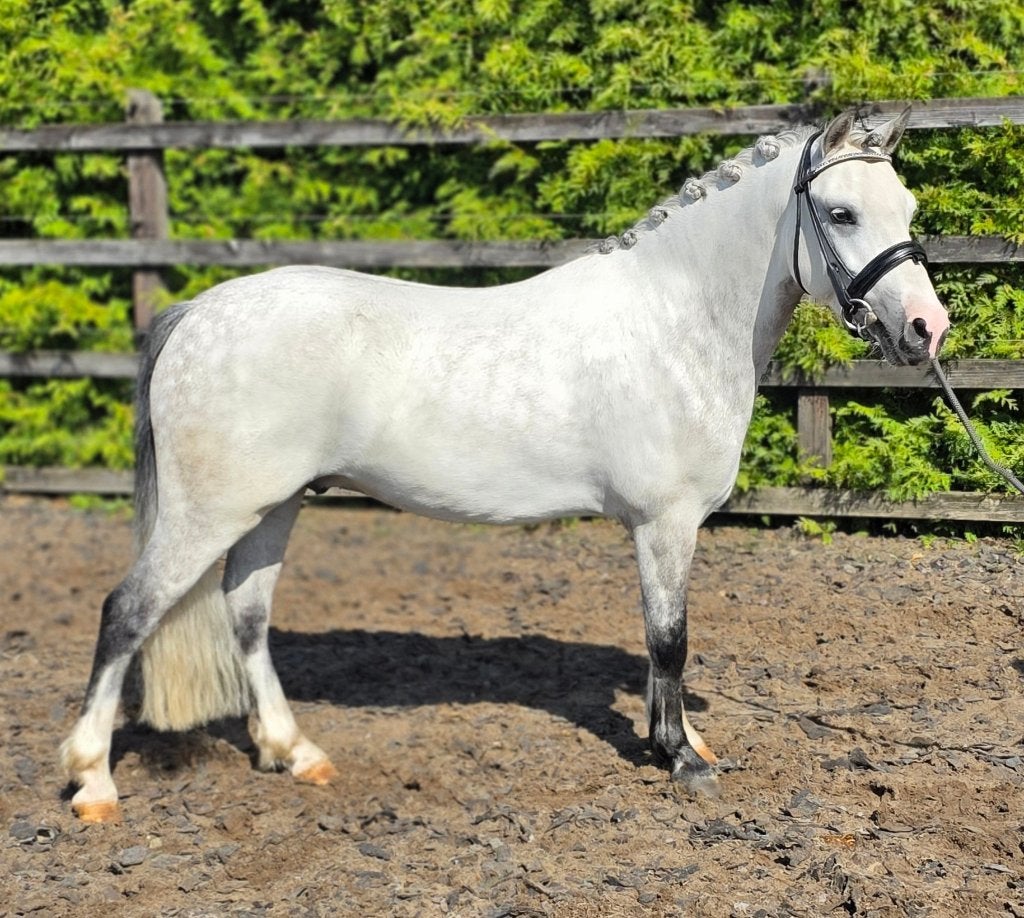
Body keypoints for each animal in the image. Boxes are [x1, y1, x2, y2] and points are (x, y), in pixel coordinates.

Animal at [61, 107, 950, 822]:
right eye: (841, 212)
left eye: (906, 209)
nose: (925, 329)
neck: (674, 320)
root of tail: (196, 312)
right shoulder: (664, 524)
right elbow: (669, 639)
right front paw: (680, 757)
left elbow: (662, 643)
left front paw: (685, 741)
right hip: (207, 513)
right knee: (126, 613)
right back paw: (93, 782)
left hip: (270, 507)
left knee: (246, 617)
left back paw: (295, 752)